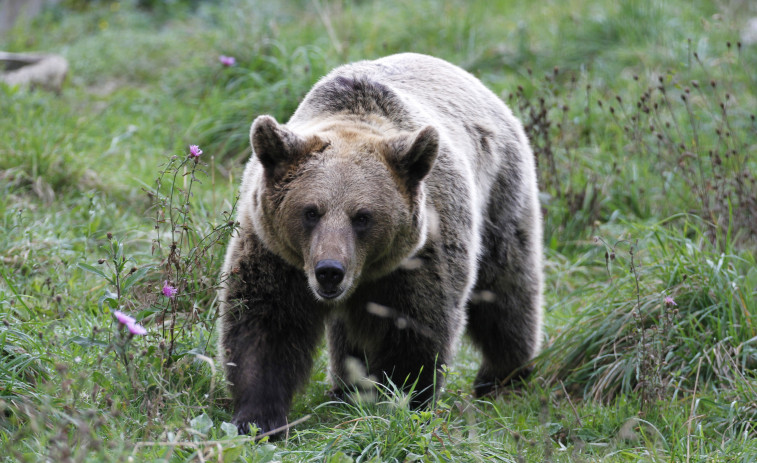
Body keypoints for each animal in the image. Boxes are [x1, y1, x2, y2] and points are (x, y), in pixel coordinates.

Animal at [219, 52, 544, 436]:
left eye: (363, 216)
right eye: (310, 211)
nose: (330, 271)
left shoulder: (420, 255)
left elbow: (415, 329)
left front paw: (399, 402)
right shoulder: (275, 252)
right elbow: (265, 324)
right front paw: (257, 419)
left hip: (500, 196)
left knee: (506, 290)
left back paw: (503, 375)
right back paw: (345, 388)